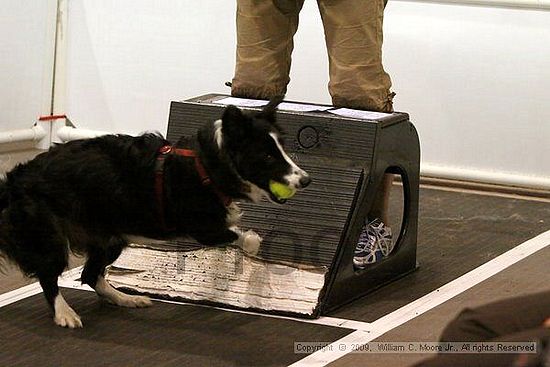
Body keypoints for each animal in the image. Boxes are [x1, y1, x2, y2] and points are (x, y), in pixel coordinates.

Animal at [0, 99, 310, 330]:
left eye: (283, 150)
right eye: (267, 156)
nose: (306, 180)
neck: (208, 164)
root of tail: (16, 179)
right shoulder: (201, 226)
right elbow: (235, 234)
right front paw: (252, 241)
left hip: (110, 239)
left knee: (90, 274)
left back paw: (124, 298)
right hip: (49, 236)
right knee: (49, 276)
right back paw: (64, 313)